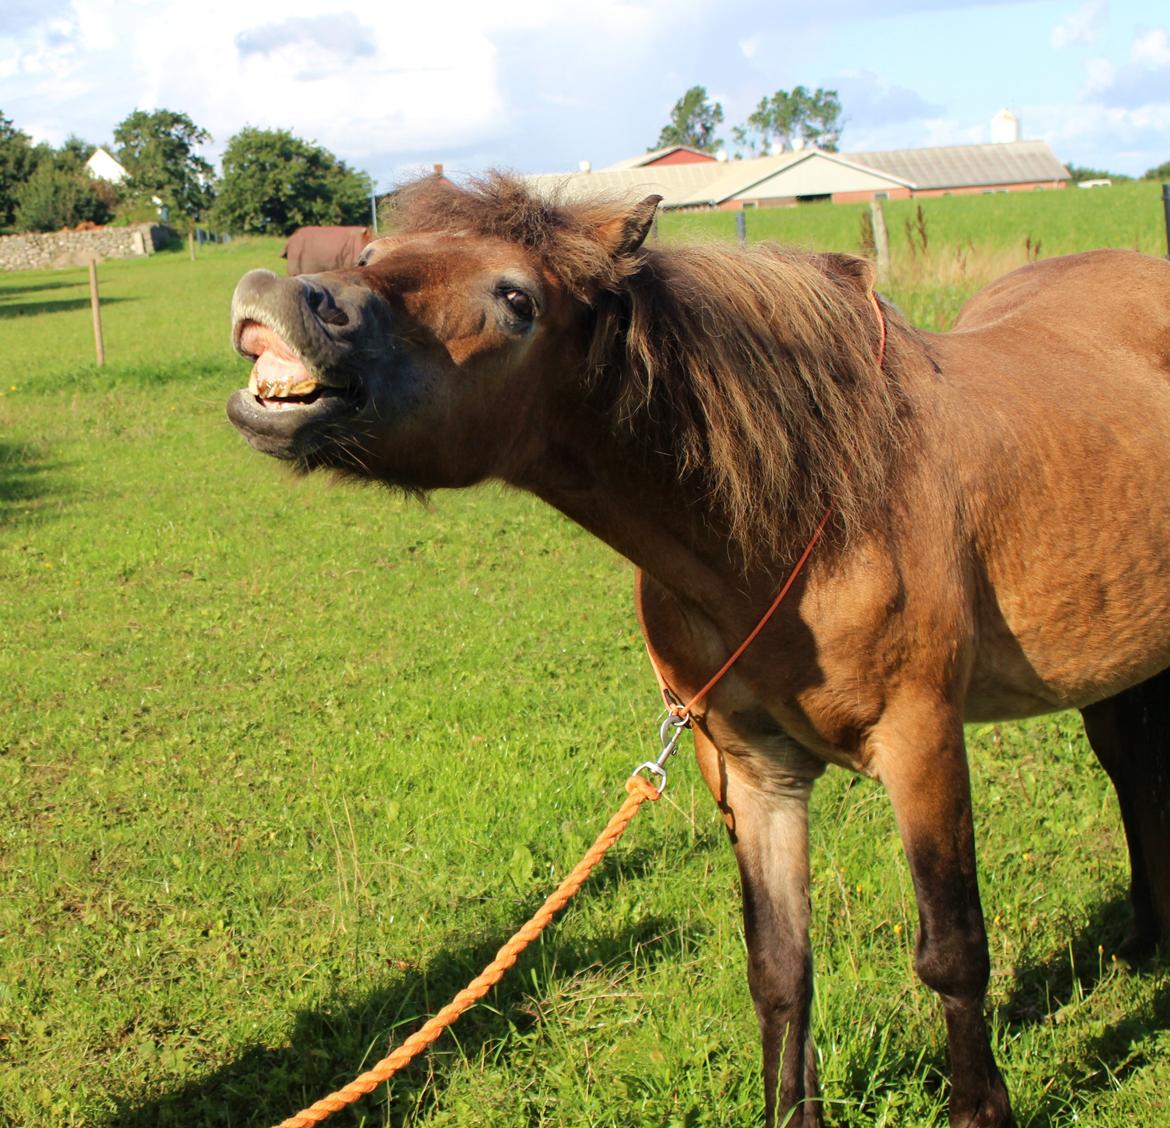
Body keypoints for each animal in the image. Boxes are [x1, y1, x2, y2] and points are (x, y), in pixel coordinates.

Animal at [225, 172, 1170, 1123]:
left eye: (518, 299)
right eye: (373, 252)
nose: (278, 298)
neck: (811, 511)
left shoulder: (923, 741)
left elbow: (953, 952)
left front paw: (980, 1108)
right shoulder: (753, 771)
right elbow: (780, 970)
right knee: (1131, 769)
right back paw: (1143, 942)